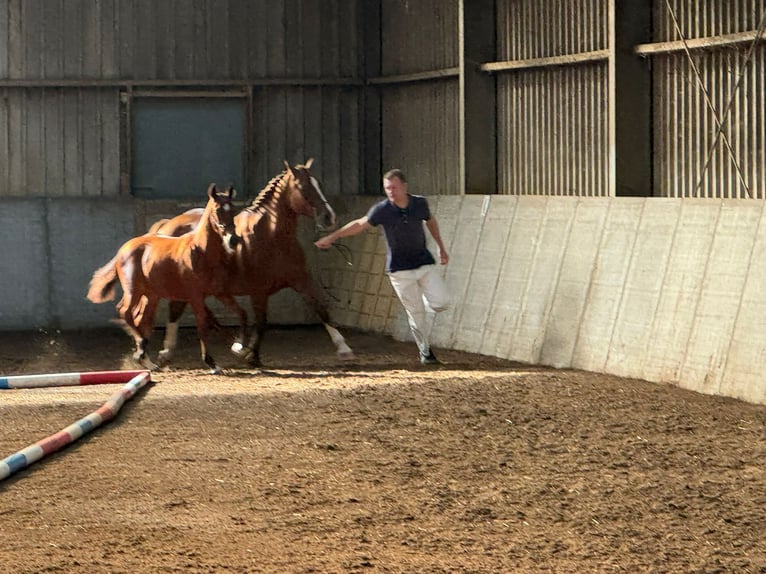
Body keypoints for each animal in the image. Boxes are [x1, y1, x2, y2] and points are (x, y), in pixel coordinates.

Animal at [86, 183, 240, 374]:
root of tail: (124, 248)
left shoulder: (211, 293)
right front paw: (214, 362)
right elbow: (203, 324)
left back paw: (147, 359)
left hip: (150, 295)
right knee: (125, 311)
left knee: (141, 318)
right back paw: (143, 350)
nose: (233, 239)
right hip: (134, 290)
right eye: (217, 209)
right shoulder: (195, 296)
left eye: (233, 209)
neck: (200, 250)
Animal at [154, 160, 356, 366]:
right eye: (302, 187)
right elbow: (261, 321)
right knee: (176, 309)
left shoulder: (301, 280)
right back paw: (167, 351)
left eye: (319, 185)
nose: (329, 217)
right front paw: (251, 354)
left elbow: (320, 309)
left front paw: (344, 349)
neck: (272, 237)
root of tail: (168, 224)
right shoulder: (258, 290)